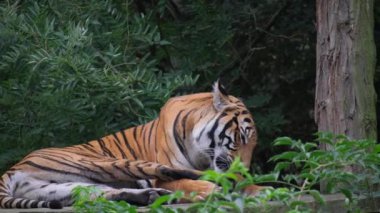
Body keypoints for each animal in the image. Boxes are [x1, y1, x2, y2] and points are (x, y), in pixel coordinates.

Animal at [0, 81, 258, 208]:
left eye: (253, 146)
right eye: (240, 138)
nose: (243, 171)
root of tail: (13, 169)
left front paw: (258, 188)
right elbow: (183, 181)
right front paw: (213, 189)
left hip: (64, 187)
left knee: (101, 194)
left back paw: (151, 197)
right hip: (106, 162)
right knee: (167, 172)